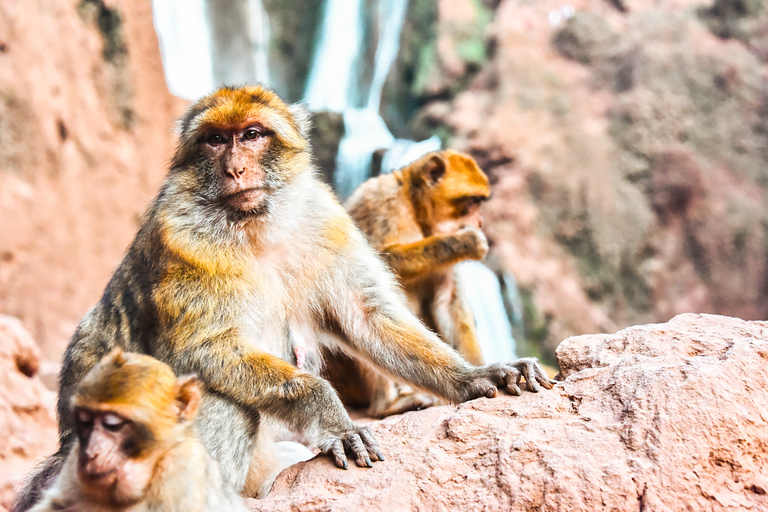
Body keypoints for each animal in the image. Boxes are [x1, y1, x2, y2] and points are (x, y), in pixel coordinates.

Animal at [324, 149, 492, 416]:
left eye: (480, 202)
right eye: (473, 202)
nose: (480, 223)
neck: (414, 208)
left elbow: (449, 302)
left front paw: (478, 372)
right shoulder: (382, 201)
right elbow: (368, 262)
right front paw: (465, 241)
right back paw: (387, 405)